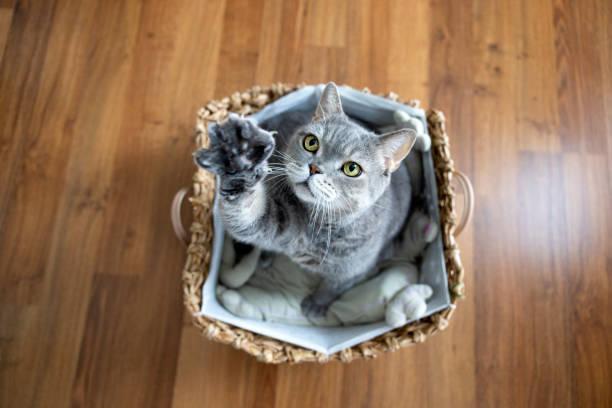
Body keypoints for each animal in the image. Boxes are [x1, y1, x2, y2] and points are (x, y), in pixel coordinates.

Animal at [194, 83, 418, 318]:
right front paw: (238, 163)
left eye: (352, 168)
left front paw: (316, 305)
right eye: (311, 142)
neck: (321, 226)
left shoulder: (354, 271)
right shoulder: (275, 221)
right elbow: (247, 212)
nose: (314, 168)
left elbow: (333, 287)